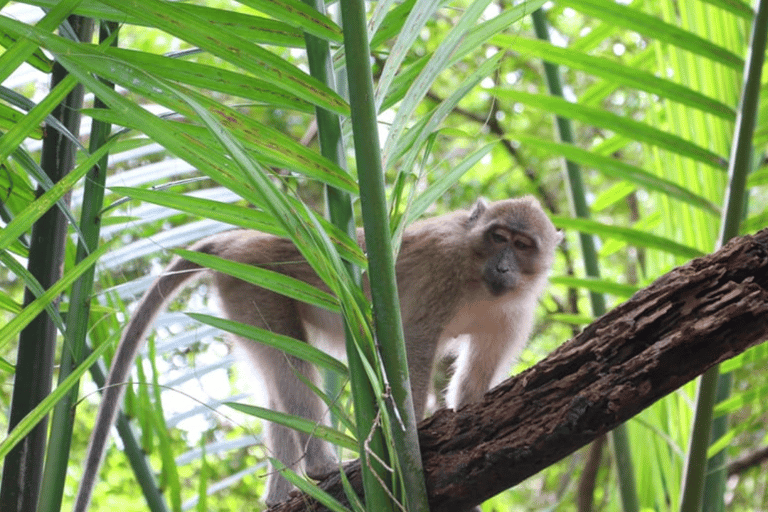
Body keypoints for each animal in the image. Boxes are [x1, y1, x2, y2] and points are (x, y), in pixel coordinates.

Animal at [75, 196, 560, 508]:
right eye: (498, 237)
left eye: (522, 245)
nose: (504, 266)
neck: (479, 282)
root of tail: (236, 241)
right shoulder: (444, 270)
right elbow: (412, 346)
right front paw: (412, 441)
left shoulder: (513, 314)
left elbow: (473, 384)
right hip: (255, 286)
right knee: (294, 364)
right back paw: (321, 468)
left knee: (275, 379)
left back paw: (280, 494)